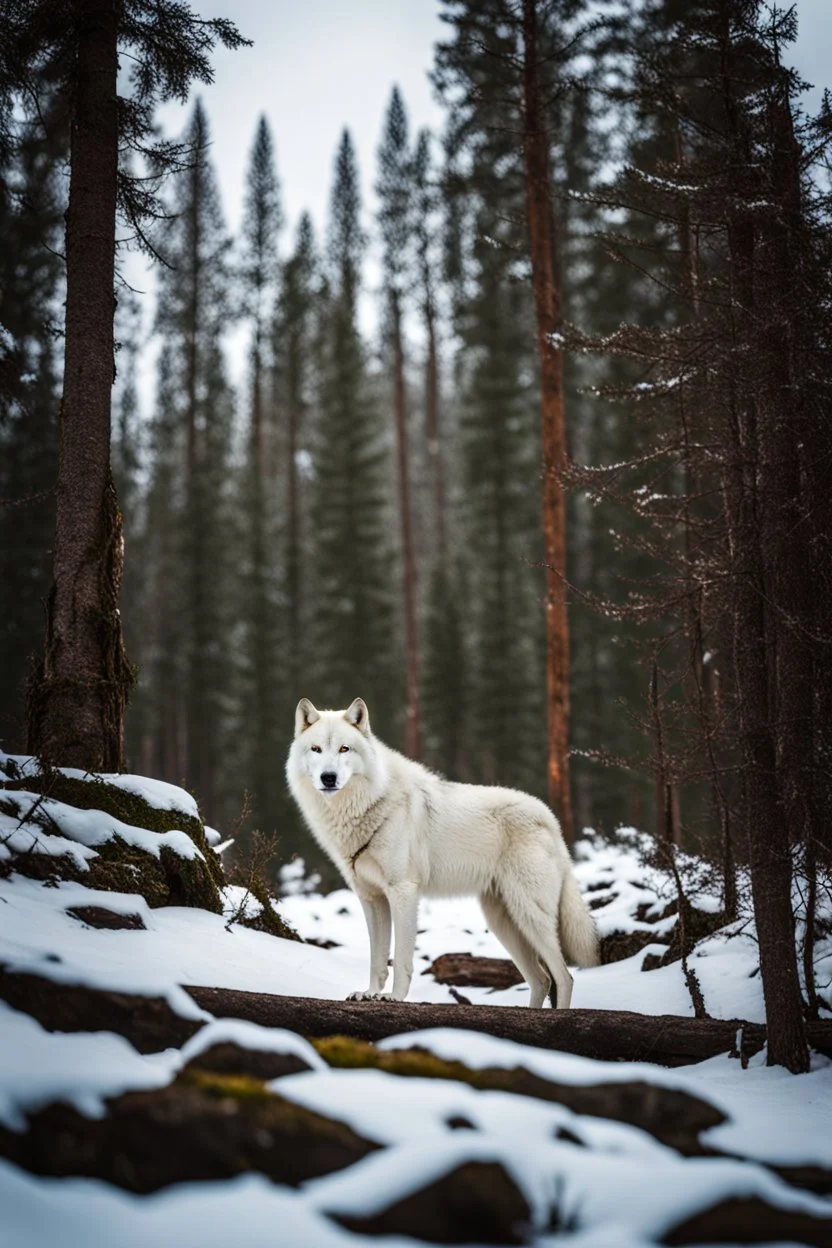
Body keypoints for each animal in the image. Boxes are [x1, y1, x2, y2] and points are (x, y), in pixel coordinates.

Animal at [286, 698, 598, 1008]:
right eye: (316, 749)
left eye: (344, 749)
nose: (328, 778)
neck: (368, 804)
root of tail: (550, 819)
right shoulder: (371, 898)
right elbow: (377, 959)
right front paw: (369, 992)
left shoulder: (403, 892)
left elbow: (401, 958)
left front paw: (394, 997)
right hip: (504, 923)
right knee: (541, 979)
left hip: (531, 916)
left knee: (563, 977)